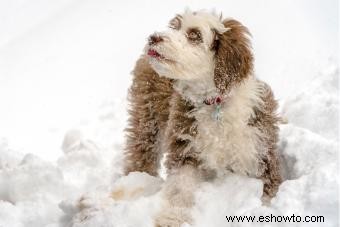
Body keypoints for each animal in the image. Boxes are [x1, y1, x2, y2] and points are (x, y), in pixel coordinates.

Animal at [124, 9, 282, 226]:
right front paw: (172, 217)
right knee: (141, 151)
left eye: (195, 35)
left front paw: (265, 211)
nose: (153, 38)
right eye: (175, 27)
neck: (215, 103)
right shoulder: (185, 144)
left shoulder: (257, 150)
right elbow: (180, 185)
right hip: (148, 117)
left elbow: (267, 189)